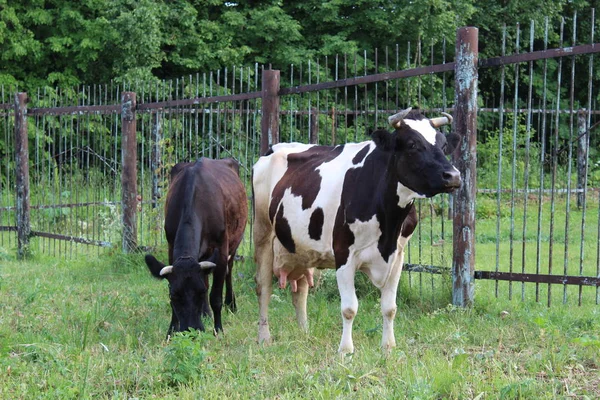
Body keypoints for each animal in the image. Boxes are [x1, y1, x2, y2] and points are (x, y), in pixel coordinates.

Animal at [251, 108, 462, 352]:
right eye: (412, 144)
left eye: (444, 145)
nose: (453, 176)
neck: (388, 224)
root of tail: (272, 148)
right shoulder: (344, 253)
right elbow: (349, 308)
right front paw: (346, 350)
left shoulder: (397, 255)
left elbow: (390, 307)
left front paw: (388, 347)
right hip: (262, 233)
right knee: (264, 286)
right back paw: (264, 337)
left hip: (302, 248)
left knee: (300, 291)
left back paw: (304, 333)